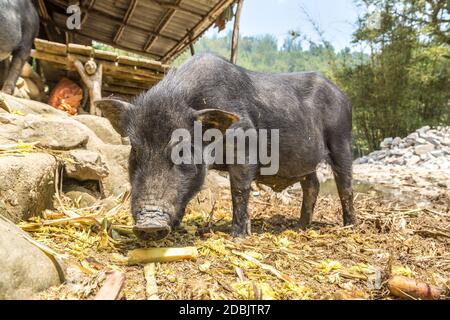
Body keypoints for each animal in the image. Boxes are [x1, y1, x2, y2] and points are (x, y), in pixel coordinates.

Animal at [96, 54, 356, 240]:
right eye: (135, 150)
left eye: (182, 152)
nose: (149, 224)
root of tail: (343, 95)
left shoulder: (246, 145)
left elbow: (239, 190)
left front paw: (238, 236)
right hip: (306, 162)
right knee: (312, 184)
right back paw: (301, 226)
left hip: (342, 138)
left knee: (345, 185)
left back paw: (349, 226)